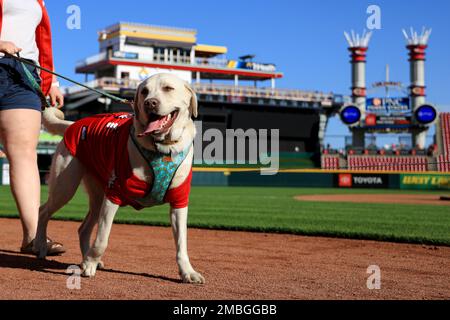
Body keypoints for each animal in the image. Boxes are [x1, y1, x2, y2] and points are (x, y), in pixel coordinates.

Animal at [34, 74, 205, 284]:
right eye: (144, 91)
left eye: (168, 88)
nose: (150, 103)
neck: (161, 148)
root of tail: (74, 124)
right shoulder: (113, 194)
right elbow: (102, 239)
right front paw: (90, 265)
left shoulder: (179, 200)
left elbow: (182, 243)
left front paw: (188, 272)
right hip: (65, 186)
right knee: (43, 211)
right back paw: (42, 246)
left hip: (96, 196)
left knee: (83, 229)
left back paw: (84, 258)